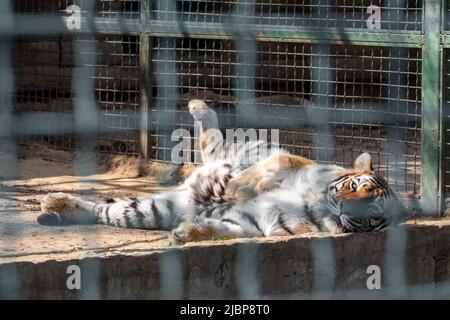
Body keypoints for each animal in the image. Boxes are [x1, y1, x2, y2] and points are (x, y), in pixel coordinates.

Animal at [37, 99, 406, 244]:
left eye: (370, 212)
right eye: (354, 186)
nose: (344, 206)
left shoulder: (257, 225)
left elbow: (226, 230)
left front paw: (189, 233)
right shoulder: (298, 168)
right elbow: (279, 168)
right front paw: (239, 189)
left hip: (154, 210)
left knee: (106, 210)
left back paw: (53, 207)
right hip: (239, 153)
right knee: (213, 142)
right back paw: (199, 107)